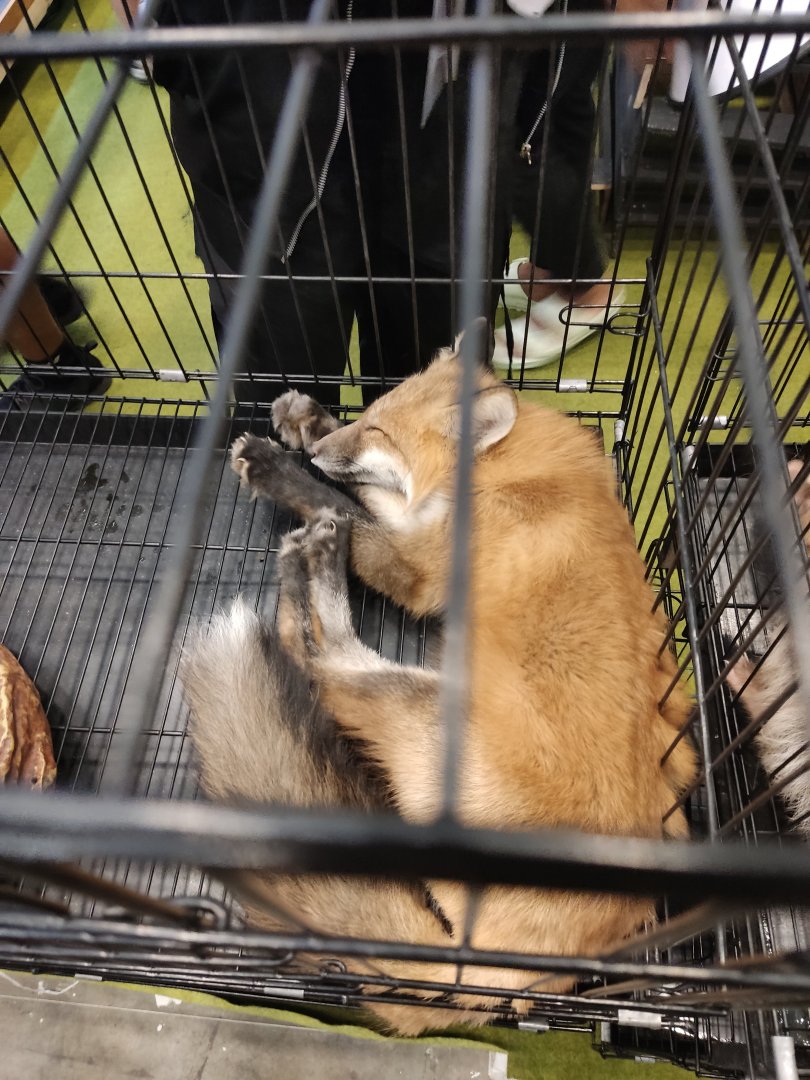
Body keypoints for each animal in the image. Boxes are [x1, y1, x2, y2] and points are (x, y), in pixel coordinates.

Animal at [181, 339, 697, 1034]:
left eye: (378, 433)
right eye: (369, 414)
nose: (318, 450)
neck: (515, 472)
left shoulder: (418, 567)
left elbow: (348, 507)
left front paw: (280, 468)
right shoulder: (417, 519)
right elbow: (361, 495)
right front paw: (305, 420)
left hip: (418, 701)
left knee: (320, 659)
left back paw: (315, 564)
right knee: (300, 642)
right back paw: (298, 568)